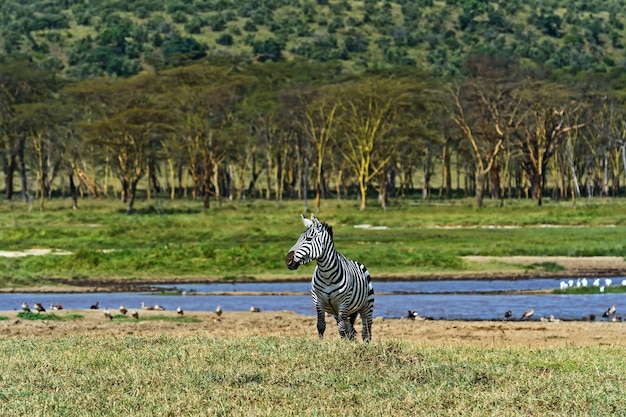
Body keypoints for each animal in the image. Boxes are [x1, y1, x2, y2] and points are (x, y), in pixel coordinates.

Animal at [286, 213, 372, 342]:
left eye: (308, 239)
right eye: (298, 238)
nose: (287, 260)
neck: (327, 274)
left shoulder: (343, 302)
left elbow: (341, 329)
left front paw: (343, 345)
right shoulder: (318, 300)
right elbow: (321, 325)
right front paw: (321, 344)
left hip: (367, 305)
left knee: (366, 331)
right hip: (340, 312)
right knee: (351, 331)